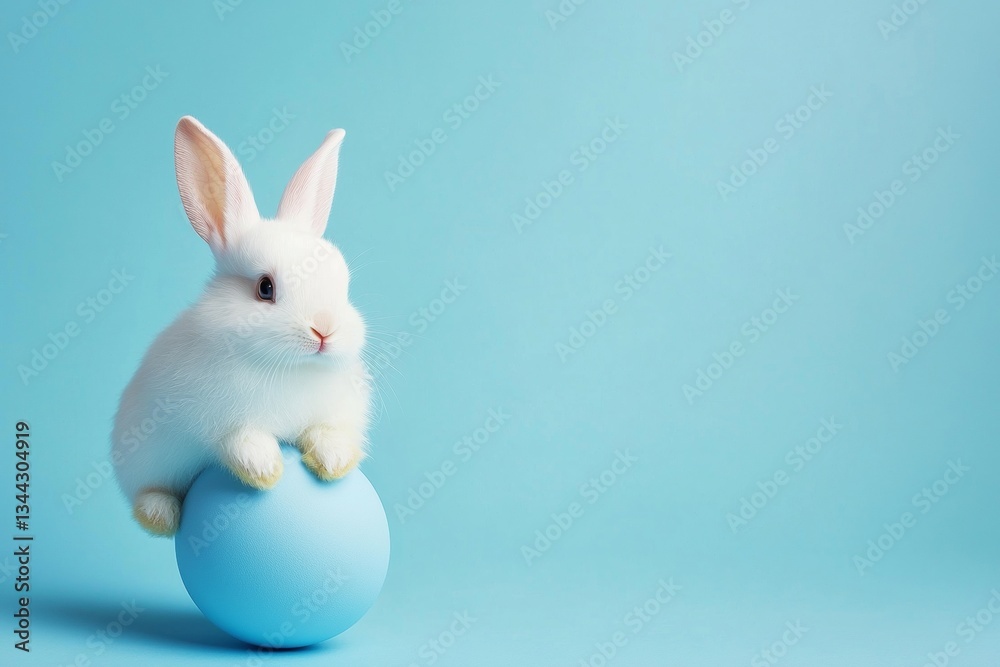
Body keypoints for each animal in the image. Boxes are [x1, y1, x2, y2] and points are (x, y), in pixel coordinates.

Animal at [112, 116, 371, 537]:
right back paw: (159, 514)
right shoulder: (220, 423)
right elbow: (239, 441)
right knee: (151, 492)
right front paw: (265, 470)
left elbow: (326, 433)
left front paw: (333, 462)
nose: (324, 331)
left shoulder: (334, 414)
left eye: (342, 283)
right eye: (265, 288)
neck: (289, 368)